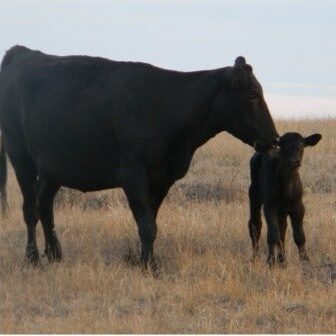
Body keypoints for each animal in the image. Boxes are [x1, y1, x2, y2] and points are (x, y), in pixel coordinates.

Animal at [0, 46, 278, 270]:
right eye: (252, 94)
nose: (274, 139)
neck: (168, 108)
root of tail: (22, 52)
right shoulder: (132, 175)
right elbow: (146, 225)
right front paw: (150, 266)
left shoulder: (163, 178)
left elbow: (150, 221)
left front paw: (139, 259)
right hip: (19, 155)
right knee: (30, 208)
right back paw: (33, 258)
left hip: (54, 168)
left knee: (44, 203)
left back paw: (55, 254)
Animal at [248, 131, 322, 266]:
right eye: (283, 147)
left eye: (301, 146)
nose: (294, 161)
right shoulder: (270, 206)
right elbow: (272, 235)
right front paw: (270, 261)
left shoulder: (298, 207)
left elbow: (299, 235)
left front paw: (305, 260)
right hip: (254, 195)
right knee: (255, 226)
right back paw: (255, 257)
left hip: (282, 211)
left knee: (282, 230)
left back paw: (282, 260)